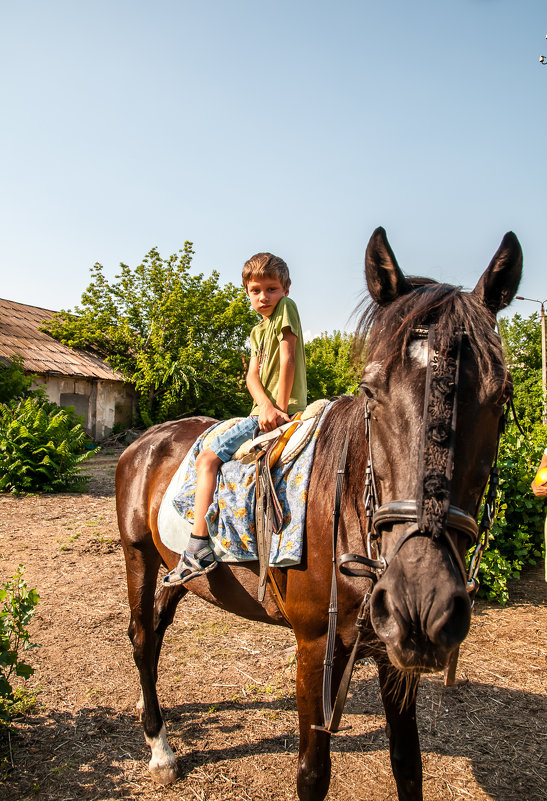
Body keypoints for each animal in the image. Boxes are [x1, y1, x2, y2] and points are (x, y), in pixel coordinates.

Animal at [115, 227, 524, 800]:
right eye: (371, 391)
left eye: (502, 394)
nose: (420, 602)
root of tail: (145, 441)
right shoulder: (315, 649)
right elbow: (312, 773)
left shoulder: (394, 656)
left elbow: (408, 764)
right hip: (138, 555)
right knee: (139, 634)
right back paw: (159, 746)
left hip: (177, 572)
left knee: (153, 632)